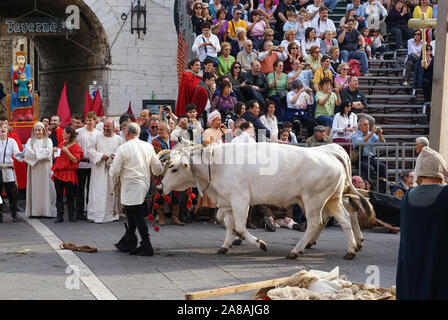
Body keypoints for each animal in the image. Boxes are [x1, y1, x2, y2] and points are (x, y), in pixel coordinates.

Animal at [158, 141, 372, 258]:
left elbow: (240, 226)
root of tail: (331, 153)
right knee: (344, 218)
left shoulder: (240, 199)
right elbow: (228, 224)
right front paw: (225, 246)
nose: (160, 187)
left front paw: (260, 243)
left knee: (315, 222)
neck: (218, 164)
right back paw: (351, 249)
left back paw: (296, 251)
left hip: (313, 200)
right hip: (331, 199)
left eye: (174, 168)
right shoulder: (227, 201)